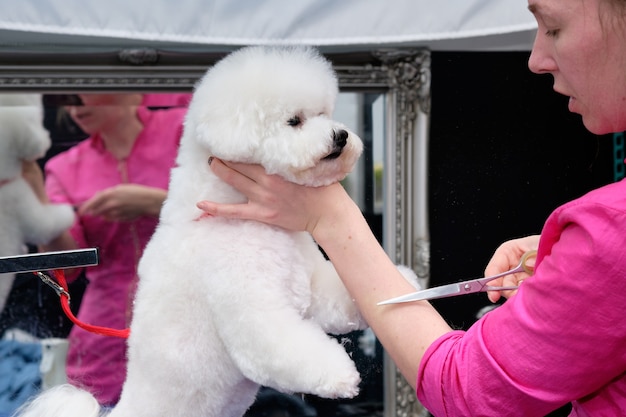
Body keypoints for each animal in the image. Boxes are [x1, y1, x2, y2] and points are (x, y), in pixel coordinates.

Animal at [17, 46, 388, 416]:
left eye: (324, 114)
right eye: (295, 121)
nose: (340, 135)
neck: (246, 218)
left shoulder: (310, 286)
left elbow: (342, 293)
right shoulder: (250, 306)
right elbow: (278, 347)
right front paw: (339, 375)